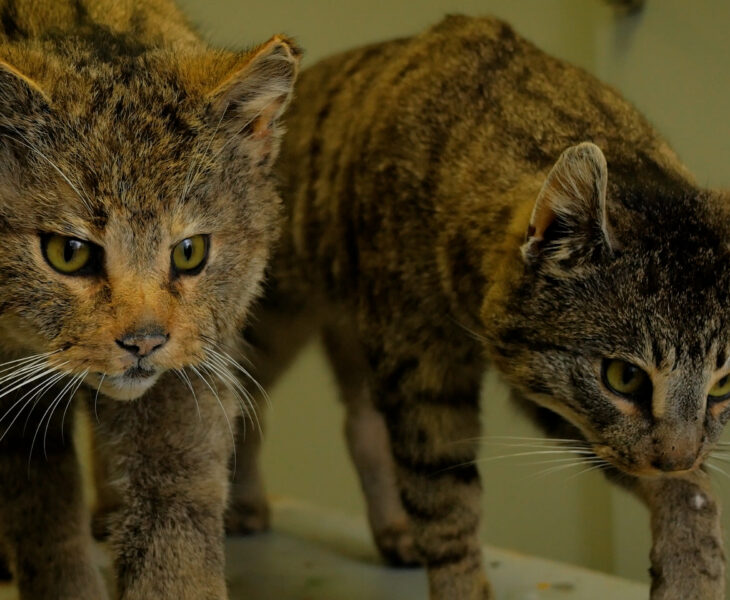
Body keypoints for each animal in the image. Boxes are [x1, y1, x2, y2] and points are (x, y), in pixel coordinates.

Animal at [0, 1, 298, 600]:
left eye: (191, 251)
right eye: (68, 253)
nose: (144, 341)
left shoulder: (193, 370)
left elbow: (175, 504)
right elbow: (42, 508)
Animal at [229, 12, 728, 600]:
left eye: (723, 386)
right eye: (623, 377)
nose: (677, 456)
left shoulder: (548, 392)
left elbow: (690, 490)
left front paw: (693, 565)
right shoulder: (424, 370)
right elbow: (447, 500)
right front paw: (461, 583)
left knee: (360, 423)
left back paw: (393, 528)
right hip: (264, 325)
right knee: (238, 402)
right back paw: (242, 501)